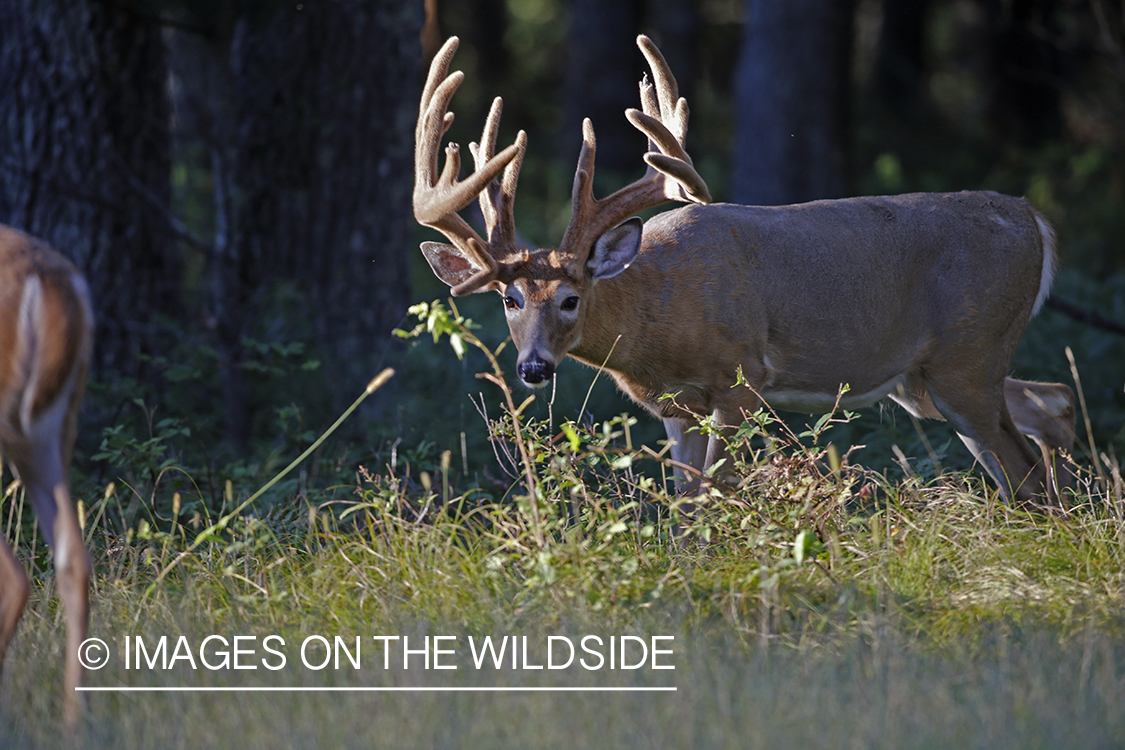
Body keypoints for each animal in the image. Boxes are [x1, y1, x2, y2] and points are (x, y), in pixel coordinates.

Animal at [411, 33, 1071, 503]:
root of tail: (1033, 219)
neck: (657, 311)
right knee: (1049, 405)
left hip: (968, 354)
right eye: (510, 300)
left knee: (1024, 463)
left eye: (572, 299)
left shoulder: (740, 382)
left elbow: (714, 498)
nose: (533, 368)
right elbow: (684, 505)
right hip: (925, 380)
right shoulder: (677, 412)